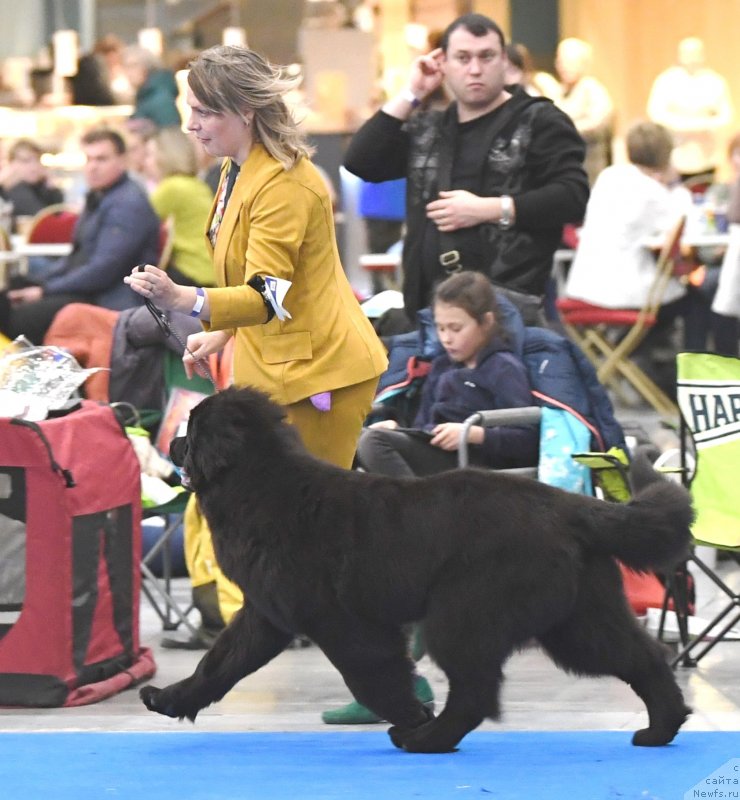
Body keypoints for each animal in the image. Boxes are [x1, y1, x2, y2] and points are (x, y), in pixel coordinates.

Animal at [140, 386, 692, 752]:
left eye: (192, 428)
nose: (170, 443)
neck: (260, 486)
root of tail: (568, 504)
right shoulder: (267, 613)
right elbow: (219, 663)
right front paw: (167, 698)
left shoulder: (340, 621)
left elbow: (372, 675)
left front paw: (410, 715)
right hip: (579, 617)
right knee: (641, 657)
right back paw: (661, 727)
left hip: (463, 612)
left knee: (474, 691)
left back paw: (427, 737)